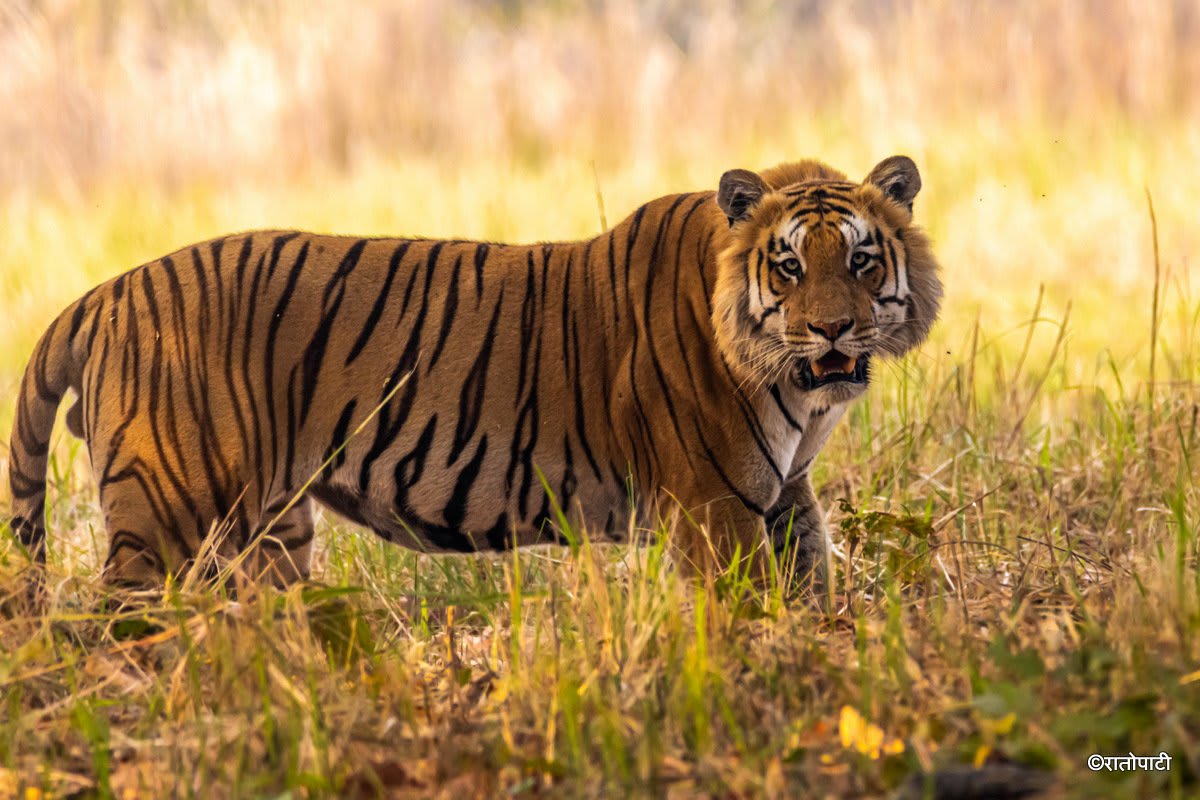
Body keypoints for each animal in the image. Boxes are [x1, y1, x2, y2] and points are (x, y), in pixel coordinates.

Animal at [6, 155, 941, 591]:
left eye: (860, 261)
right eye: (788, 268)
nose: (832, 329)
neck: (798, 393)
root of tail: (104, 291)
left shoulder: (782, 495)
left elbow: (814, 581)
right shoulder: (716, 509)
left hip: (270, 531)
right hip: (164, 515)